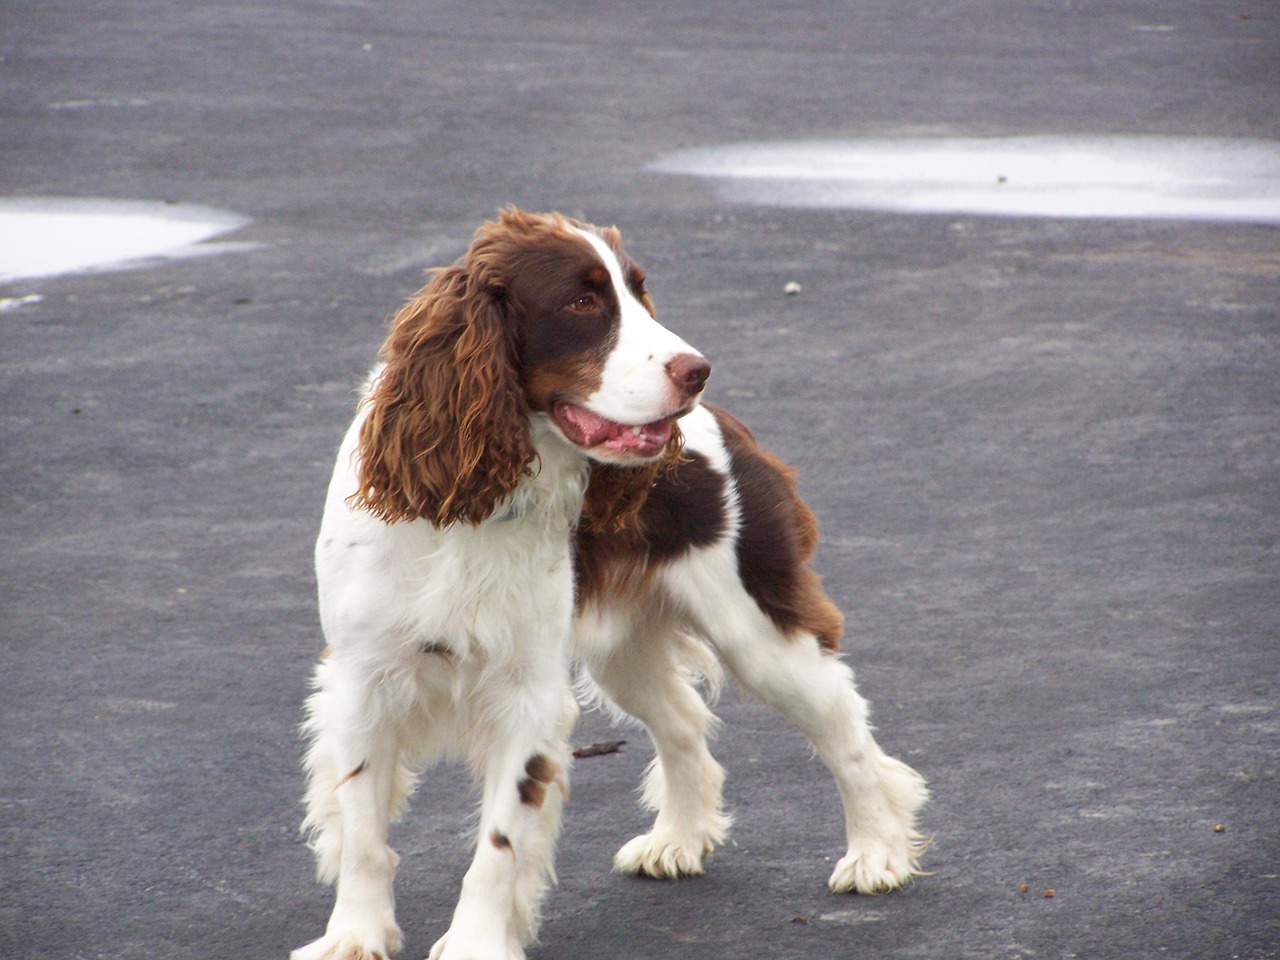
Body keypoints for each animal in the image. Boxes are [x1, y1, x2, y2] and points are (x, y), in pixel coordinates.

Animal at [294, 209, 926, 960]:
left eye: (638, 293)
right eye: (581, 302)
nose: (697, 370)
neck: (473, 507)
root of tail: (731, 426)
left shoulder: (526, 693)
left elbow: (498, 845)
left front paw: (476, 942)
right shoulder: (364, 681)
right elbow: (362, 830)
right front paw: (353, 936)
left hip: (758, 632)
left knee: (846, 730)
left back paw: (876, 852)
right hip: (623, 650)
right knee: (683, 720)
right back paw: (677, 839)